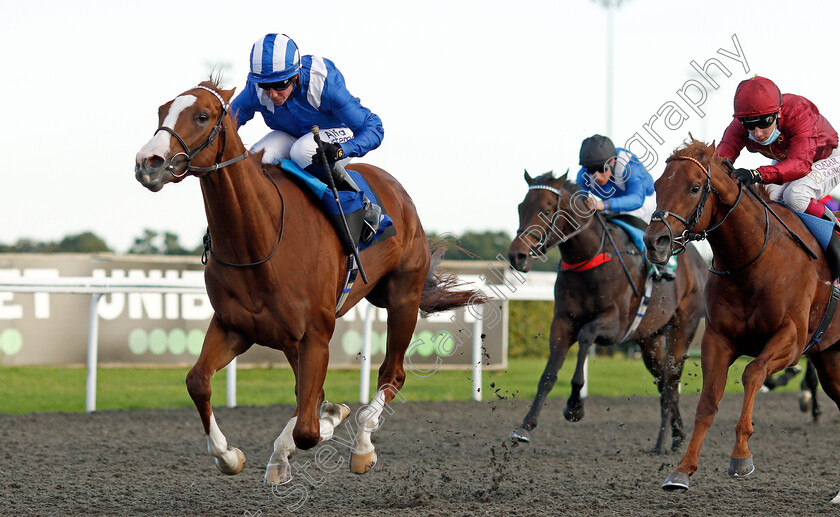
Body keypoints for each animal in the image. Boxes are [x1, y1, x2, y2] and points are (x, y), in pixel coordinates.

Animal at [133, 80, 486, 484]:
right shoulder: (233, 326)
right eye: (162, 111)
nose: (147, 162)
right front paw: (229, 455)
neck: (261, 238)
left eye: (202, 116)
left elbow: (308, 426)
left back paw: (361, 446)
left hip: (403, 297)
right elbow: (199, 381)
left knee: (391, 374)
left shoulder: (316, 333)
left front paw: (330, 420)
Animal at [508, 170, 704, 452]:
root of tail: (699, 262)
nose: (517, 256)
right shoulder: (562, 322)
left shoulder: (615, 325)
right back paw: (675, 437)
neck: (589, 259)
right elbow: (548, 374)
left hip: (683, 326)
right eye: (521, 207)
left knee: (672, 380)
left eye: (545, 210)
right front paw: (525, 426)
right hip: (650, 339)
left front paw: (575, 407)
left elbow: (586, 337)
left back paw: (664, 443)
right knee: (664, 379)